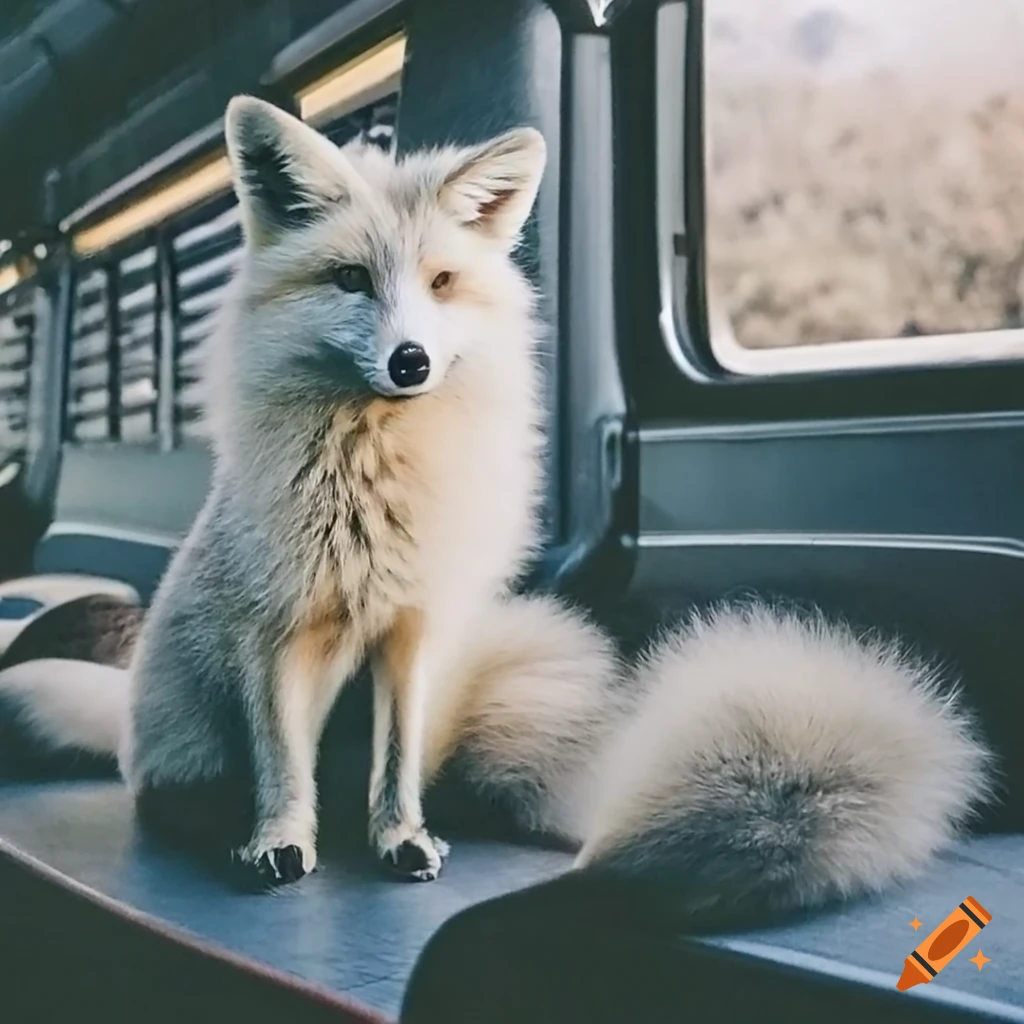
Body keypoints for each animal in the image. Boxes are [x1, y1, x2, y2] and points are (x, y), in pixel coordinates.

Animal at [0, 97, 993, 921]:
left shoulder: (415, 628)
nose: (409, 362)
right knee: (193, 784)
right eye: (351, 280)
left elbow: (396, 769)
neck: (376, 483)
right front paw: (279, 841)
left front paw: (399, 839)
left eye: (441, 282)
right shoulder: (276, 631)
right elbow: (282, 765)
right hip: (189, 737)